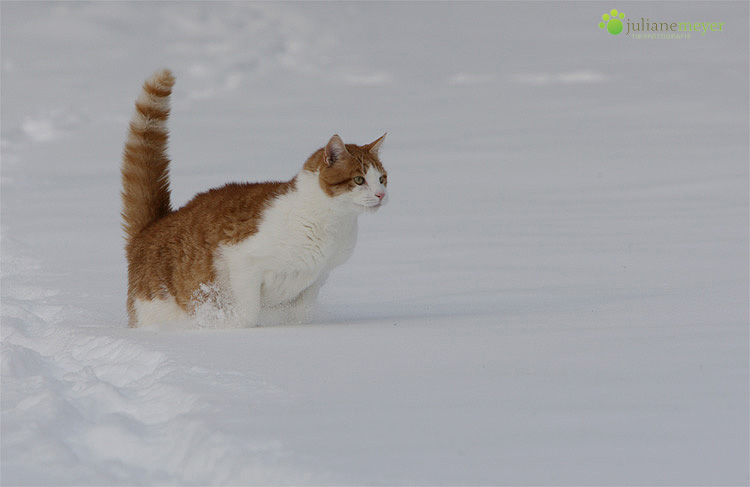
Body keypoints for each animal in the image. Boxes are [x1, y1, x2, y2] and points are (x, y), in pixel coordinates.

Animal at [120, 67, 390, 328]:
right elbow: (248, 315)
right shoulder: (244, 263)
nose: (381, 195)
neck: (329, 222)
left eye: (382, 178)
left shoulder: (316, 278)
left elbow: (300, 314)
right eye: (359, 180)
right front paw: (228, 324)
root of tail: (151, 227)